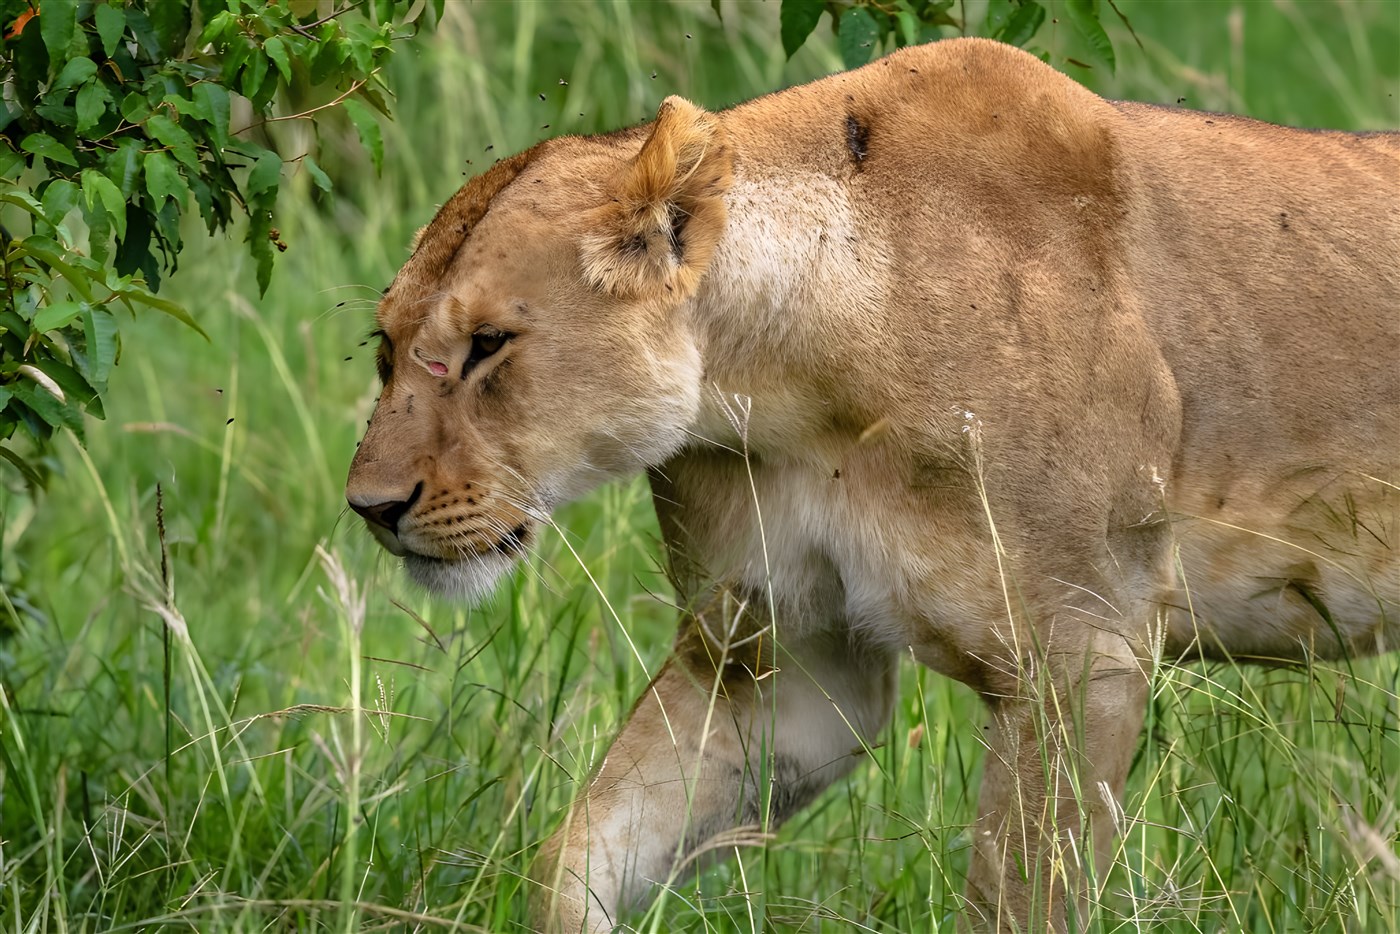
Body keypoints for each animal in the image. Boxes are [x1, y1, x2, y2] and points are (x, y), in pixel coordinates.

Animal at [345, 37, 1399, 932]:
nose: (371, 510)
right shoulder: (781, 670)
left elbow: (1018, 900)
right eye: (386, 349)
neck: (778, 387)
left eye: (489, 345)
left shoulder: (1080, 653)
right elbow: (581, 851)